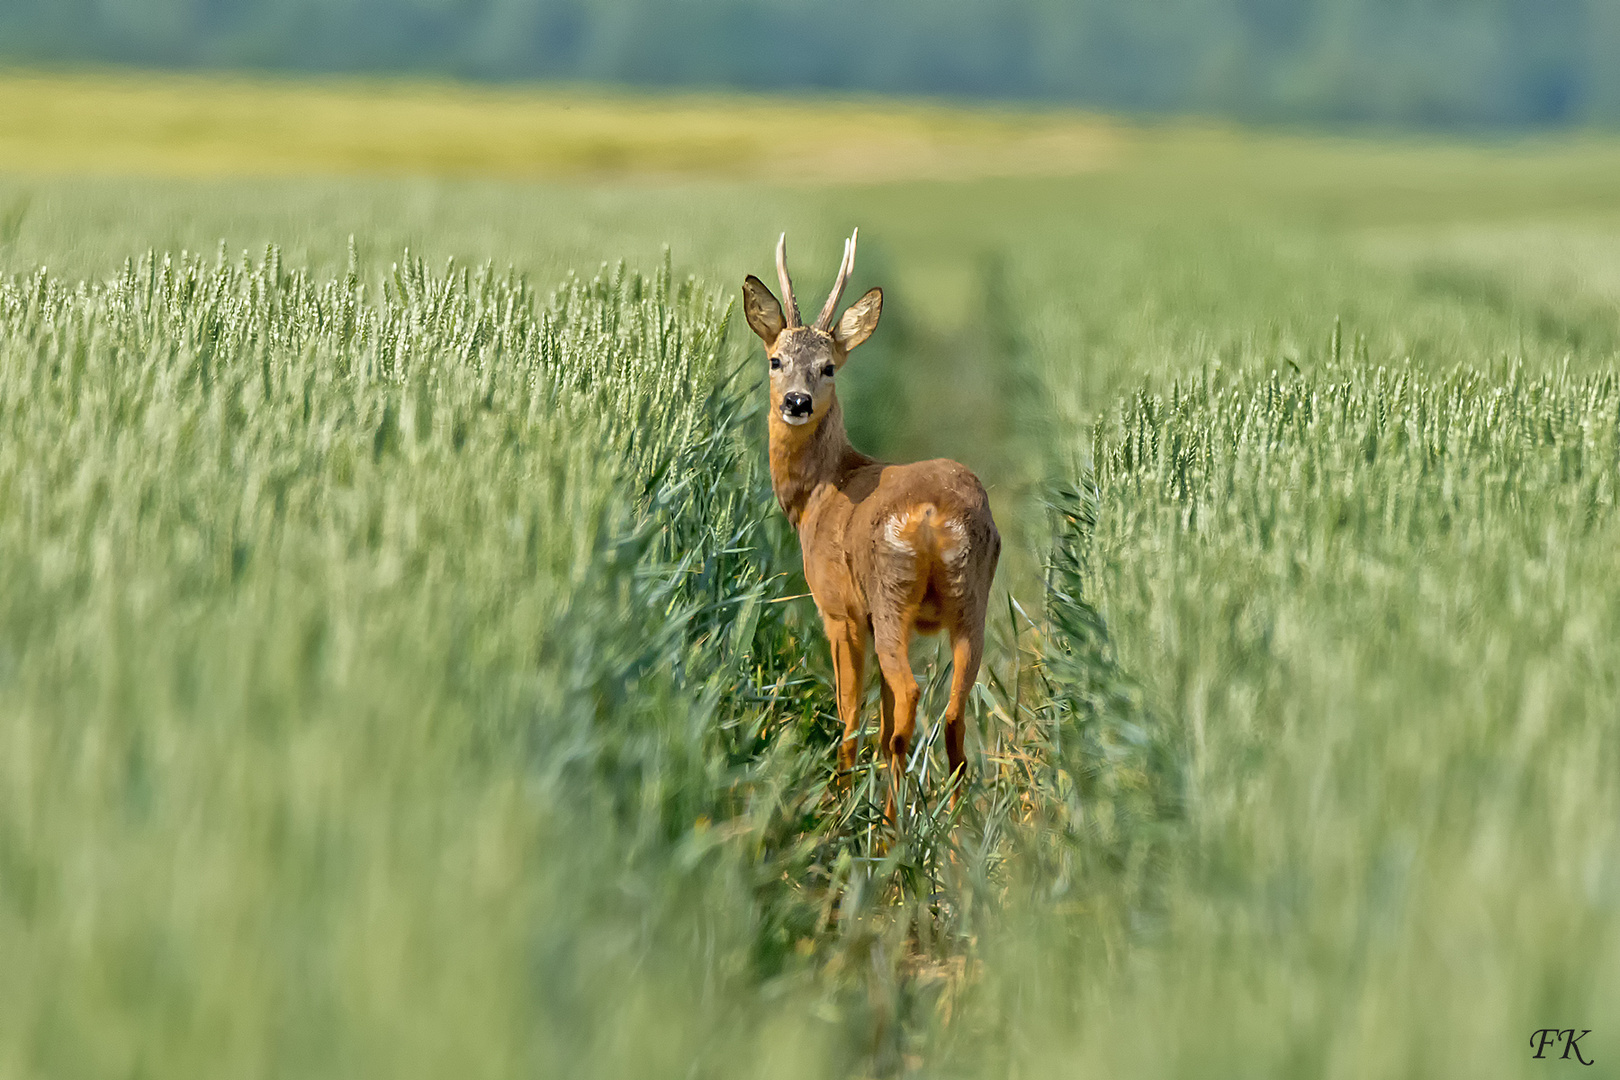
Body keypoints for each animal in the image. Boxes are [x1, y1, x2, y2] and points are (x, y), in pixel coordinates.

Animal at [741, 233, 991, 816]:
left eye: (829, 366)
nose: (797, 401)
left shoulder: (839, 608)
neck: (819, 493)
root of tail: (933, 517)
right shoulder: (872, 619)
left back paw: (889, 823)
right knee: (952, 714)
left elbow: (851, 713)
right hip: (971, 599)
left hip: (890, 591)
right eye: (776, 360)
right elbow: (878, 713)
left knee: (910, 700)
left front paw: (839, 799)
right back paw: (954, 827)